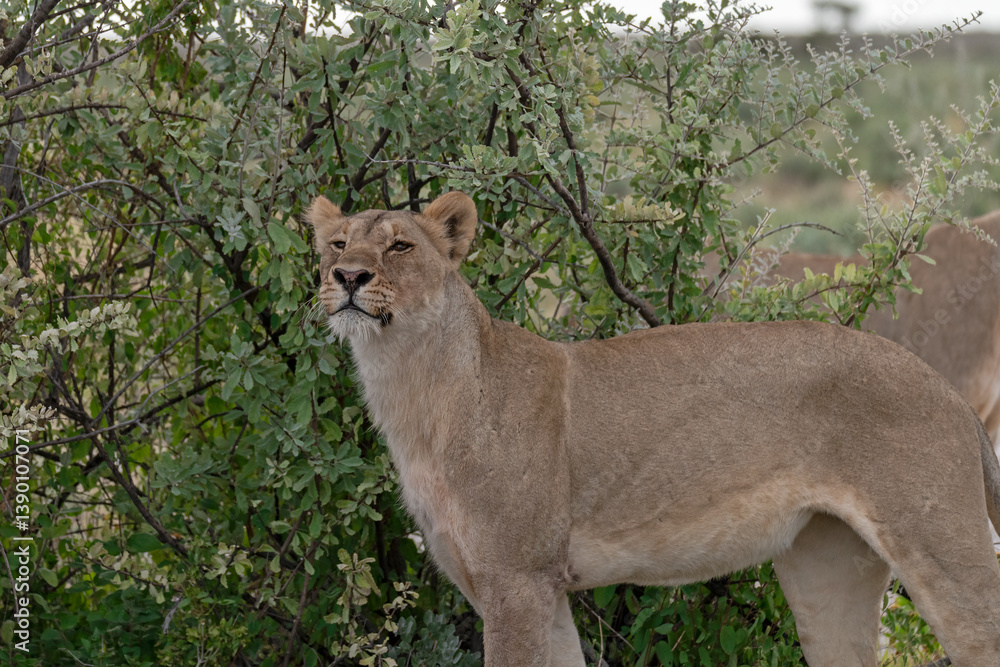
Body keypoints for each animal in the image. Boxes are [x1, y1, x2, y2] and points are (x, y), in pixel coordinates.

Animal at [307, 192, 1000, 667]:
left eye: (400, 246)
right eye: (338, 244)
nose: (348, 278)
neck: (411, 388)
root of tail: (945, 388)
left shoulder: (517, 582)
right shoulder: (534, 589)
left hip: (940, 546)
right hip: (826, 570)